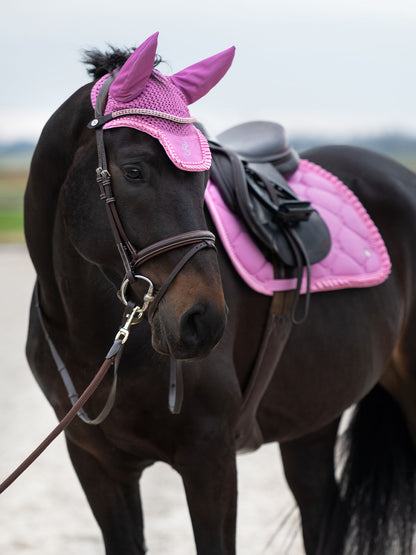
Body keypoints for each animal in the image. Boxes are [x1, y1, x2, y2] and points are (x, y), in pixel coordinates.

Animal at [22, 32, 416, 552]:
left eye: (203, 176)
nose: (202, 320)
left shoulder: (209, 456)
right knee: (322, 508)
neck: (94, 336)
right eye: (133, 171)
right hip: (313, 417)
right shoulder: (96, 463)